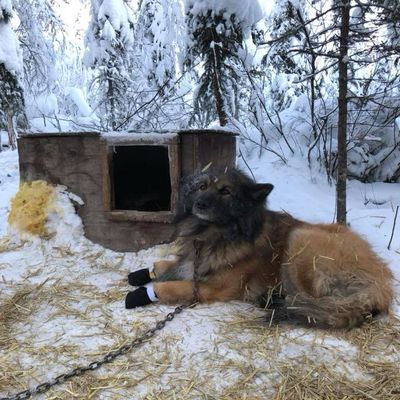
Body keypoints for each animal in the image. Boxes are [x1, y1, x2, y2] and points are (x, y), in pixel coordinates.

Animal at [125, 168, 394, 329]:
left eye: (225, 191)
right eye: (202, 187)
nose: (199, 203)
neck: (216, 234)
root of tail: (381, 283)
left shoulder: (212, 287)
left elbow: (172, 286)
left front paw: (140, 294)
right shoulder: (192, 262)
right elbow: (166, 265)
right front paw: (140, 274)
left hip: (300, 239)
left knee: (313, 301)